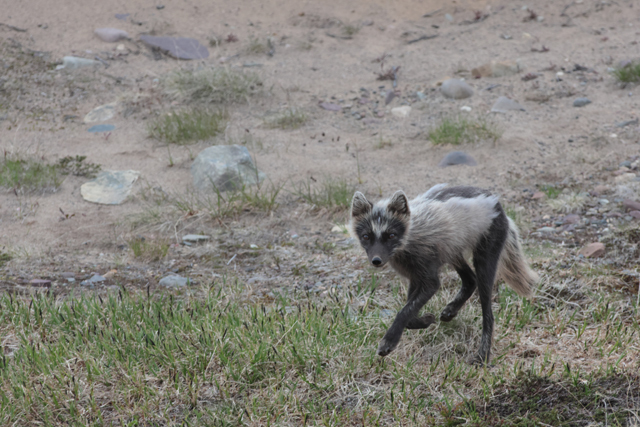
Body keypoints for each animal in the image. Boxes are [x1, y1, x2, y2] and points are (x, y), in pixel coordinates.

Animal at [352, 184, 536, 364]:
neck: (409, 238)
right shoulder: (415, 276)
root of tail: (498, 205)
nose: (376, 260)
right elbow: (409, 313)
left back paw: (482, 356)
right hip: (453, 253)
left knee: (488, 313)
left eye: (391, 235)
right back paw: (451, 311)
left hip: (484, 259)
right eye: (366, 236)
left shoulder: (429, 279)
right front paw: (425, 320)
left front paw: (388, 342)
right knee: (470, 280)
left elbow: (405, 311)